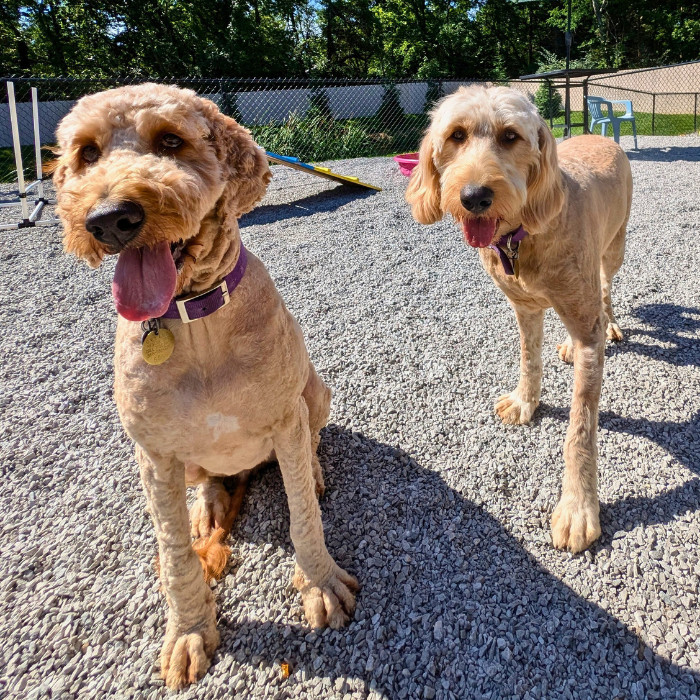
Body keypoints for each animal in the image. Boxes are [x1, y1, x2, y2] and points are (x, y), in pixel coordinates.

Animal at [52, 83, 358, 688]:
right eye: (86, 153)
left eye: (172, 141)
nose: (109, 218)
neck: (195, 322)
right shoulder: (153, 455)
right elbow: (175, 555)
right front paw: (190, 630)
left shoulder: (285, 419)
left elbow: (304, 520)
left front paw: (321, 584)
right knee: (210, 485)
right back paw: (210, 506)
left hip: (314, 393)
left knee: (309, 447)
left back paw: (311, 473)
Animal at [404, 85, 636, 552]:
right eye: (456, 135)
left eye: (510, 136)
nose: (474, 196)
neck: (523, 235)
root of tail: (599, 136)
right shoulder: (524, 309)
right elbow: (530, 360)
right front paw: (525, 401)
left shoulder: (587, 333)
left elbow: (580, 428)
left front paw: (578, 508)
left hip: (613, 248)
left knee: (605, 287)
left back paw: (611, 322)